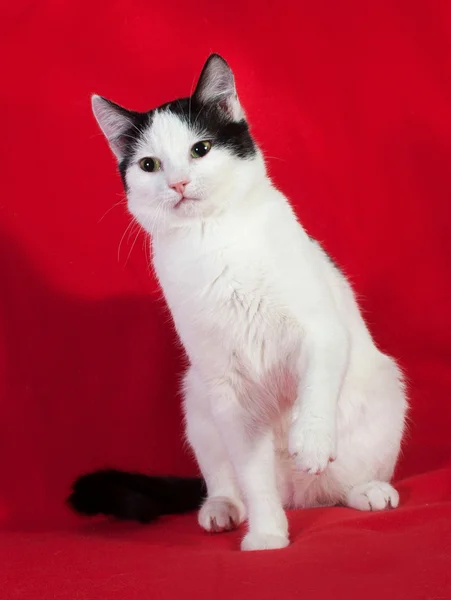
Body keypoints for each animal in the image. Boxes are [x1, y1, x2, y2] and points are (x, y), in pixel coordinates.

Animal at [68, 54, 410, 552]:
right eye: (149, 164)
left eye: (201, 149)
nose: (179, 183)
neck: (215, 239)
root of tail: (300, 498)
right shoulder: (226, 388)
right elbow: (252, 476)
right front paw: (267, 537)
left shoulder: (321, 331)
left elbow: (314, 390)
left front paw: (309, 441)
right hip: (196, 400)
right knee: (229, 483)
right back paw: (223, 511)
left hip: (386, 391)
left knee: (342, 484)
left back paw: (366, 489)